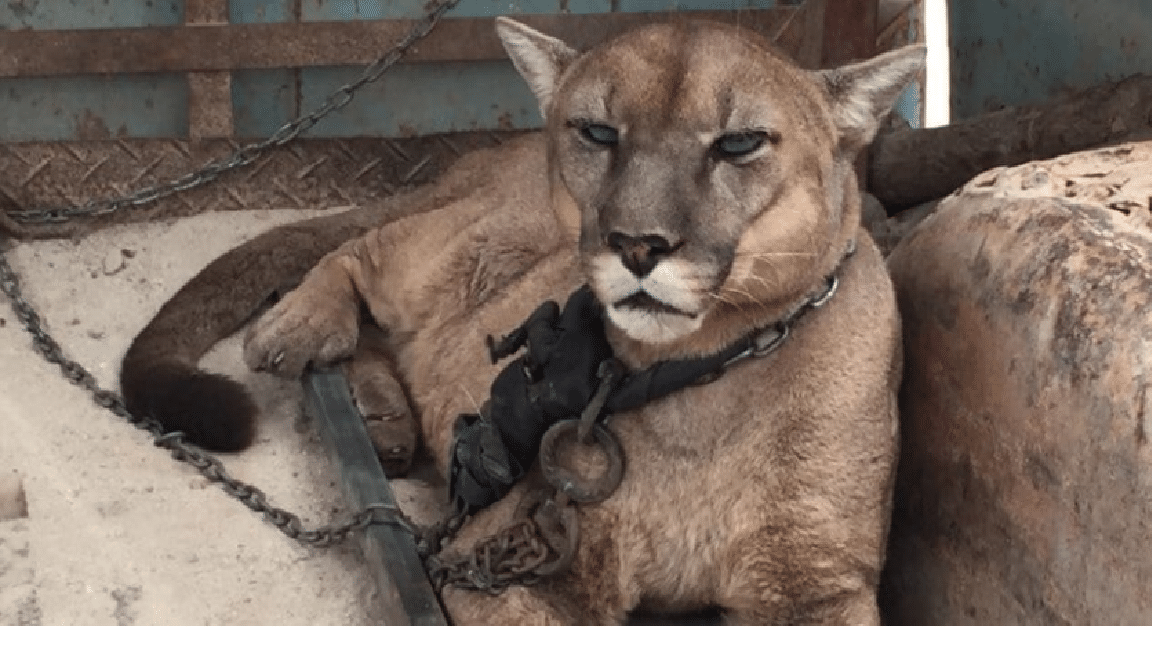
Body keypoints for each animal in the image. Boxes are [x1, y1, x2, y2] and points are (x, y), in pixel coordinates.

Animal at [119, 16, 926, 622]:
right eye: (598, 132)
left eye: (739, 142)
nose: (638, 243)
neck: (698, 382)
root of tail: (487, 156)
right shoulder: (509, 558)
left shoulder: (816, 586)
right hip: (465, 250)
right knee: (360, 251)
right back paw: (300, 331)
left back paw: (383, 420)